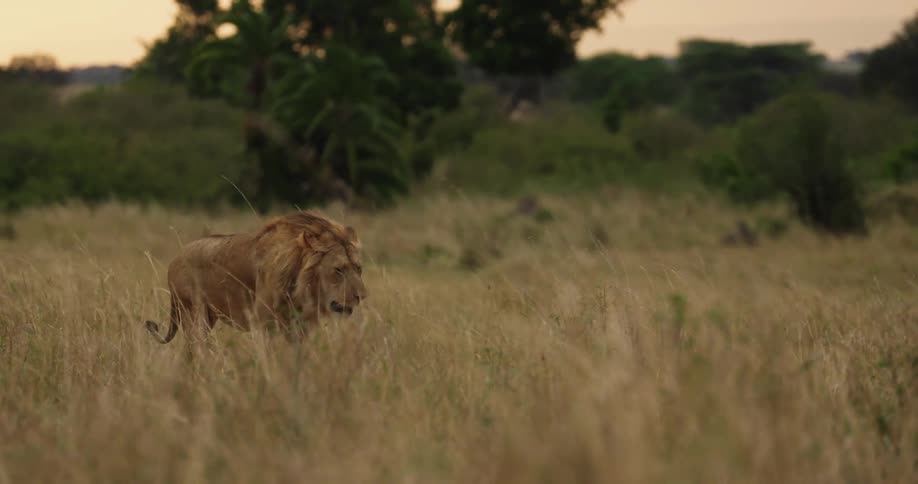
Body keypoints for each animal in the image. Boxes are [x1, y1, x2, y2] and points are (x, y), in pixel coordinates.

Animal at [144, 211, 367, 348]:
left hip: (209, 316)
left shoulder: (300, 328)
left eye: (358, 268)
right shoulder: (264, 323)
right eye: (338, 270)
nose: (361, 297)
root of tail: (175, 258)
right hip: (194, 312)